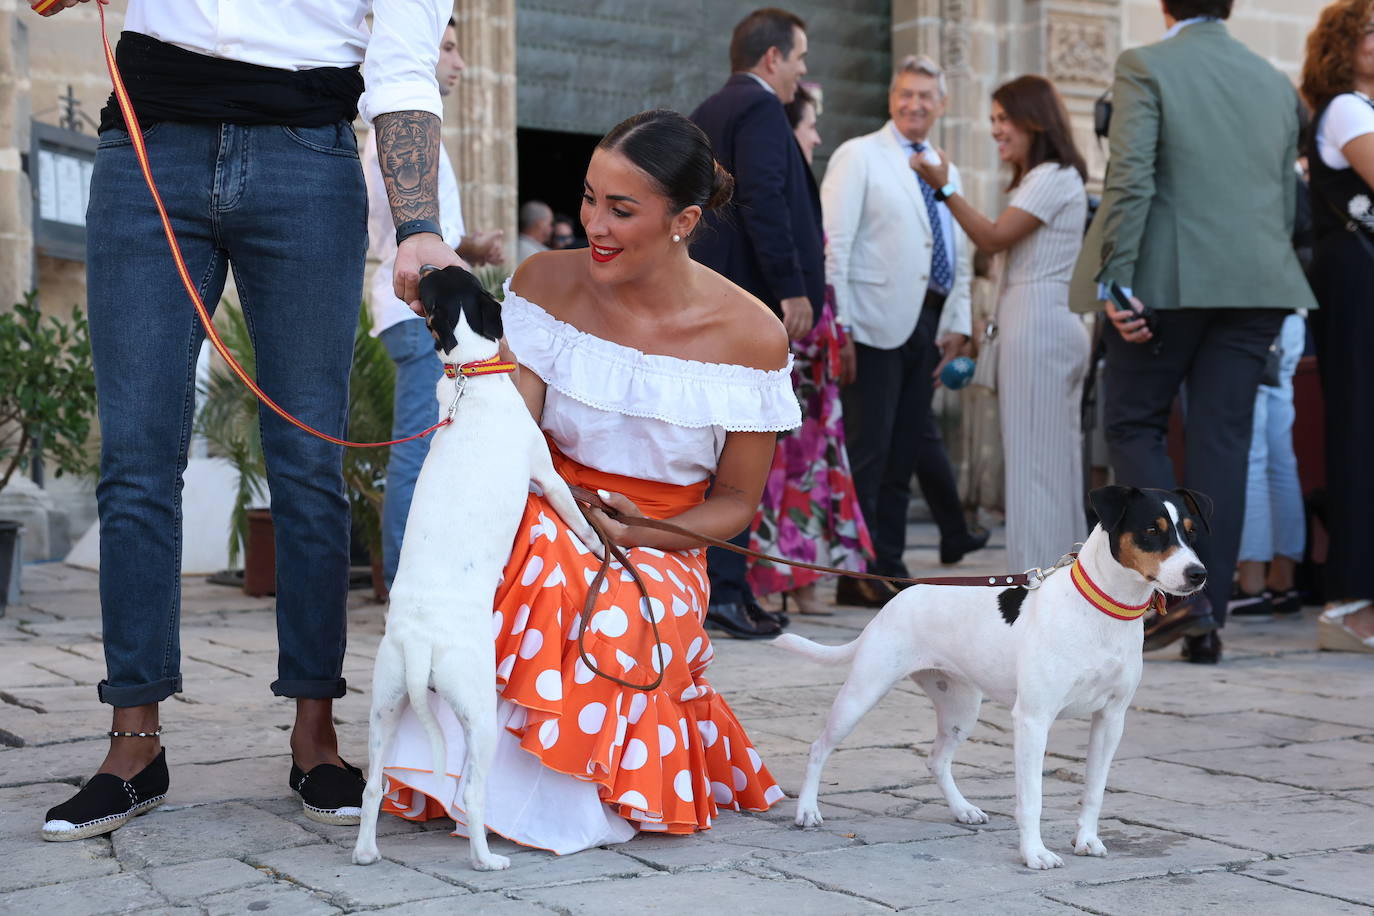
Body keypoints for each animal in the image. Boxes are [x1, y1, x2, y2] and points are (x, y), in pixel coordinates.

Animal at [348, 266, 601, 873]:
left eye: (436, 280)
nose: (419, 267)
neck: (472, 377)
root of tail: (422, 644)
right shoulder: (545, 474)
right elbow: (575, 515)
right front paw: (594, 542)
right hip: (480, 713)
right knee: (473, 792)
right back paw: (487, 860)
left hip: (385, 704)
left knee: (372, 786)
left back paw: (366, 852)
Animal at [774, 483, 1214, 873]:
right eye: (1152, 530)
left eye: (1192, 532)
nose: (1198, 574)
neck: (1103, 611)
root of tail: (899, 596)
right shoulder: (1033, 721)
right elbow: (1032, 798)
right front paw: (1034, 854)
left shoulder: (1111, 719)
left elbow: (1094, 790)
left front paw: (1086, 840)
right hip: (862, 694)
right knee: (819, 747)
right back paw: (808, 810)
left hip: (961, 710)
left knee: (936, 760)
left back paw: (963, 809)